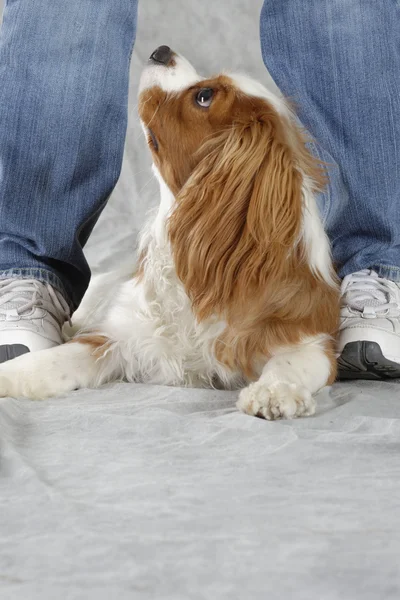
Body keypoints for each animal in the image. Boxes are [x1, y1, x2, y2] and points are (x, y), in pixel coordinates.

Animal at [0, 47, 340, 420]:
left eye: (203, 97)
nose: (162, 51)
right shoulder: (117, 335)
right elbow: (48, 362)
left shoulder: (308, 336)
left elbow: (291, 362)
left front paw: (274, 391)